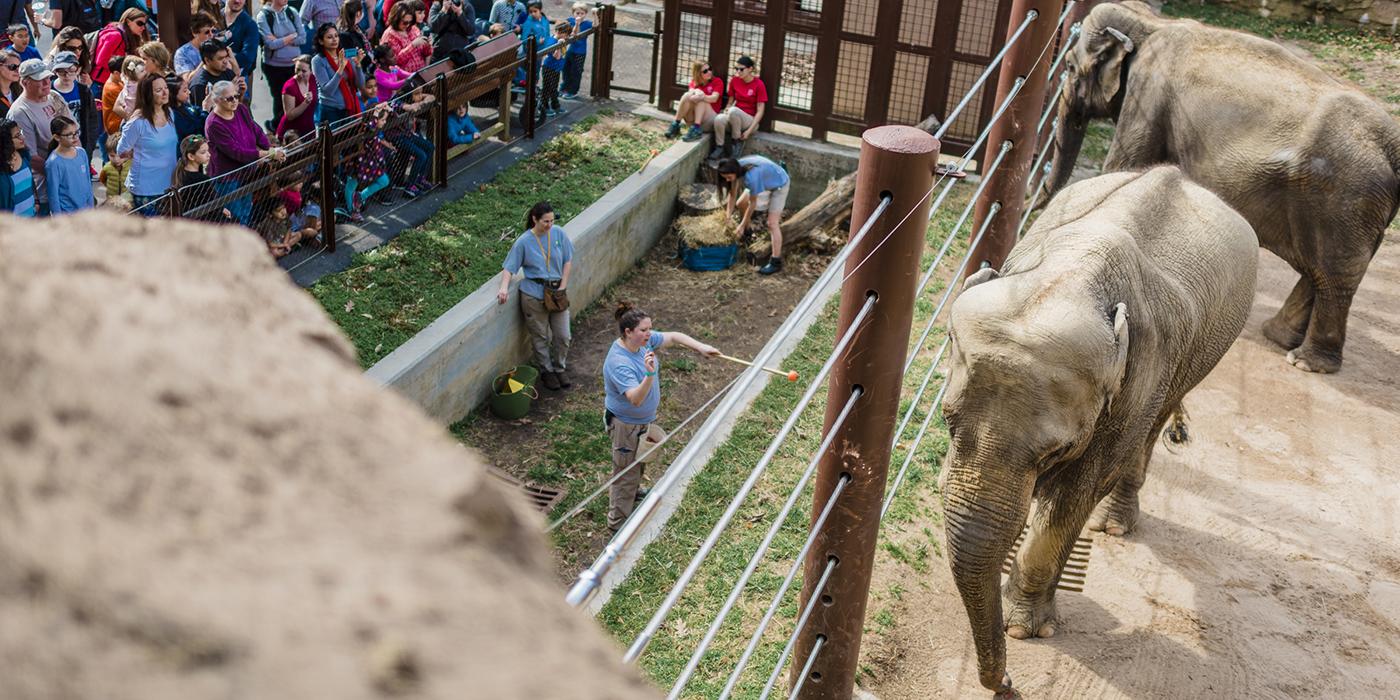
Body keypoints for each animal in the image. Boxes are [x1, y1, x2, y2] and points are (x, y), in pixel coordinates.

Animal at [940, 165, 1260, 694]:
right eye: (947, 423)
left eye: (1056, 451)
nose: (1007, 684)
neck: (1073, 276)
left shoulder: (1140, 373)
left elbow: (1078, 493)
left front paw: (1025, 628)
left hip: (1198, 356)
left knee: (1150, 430)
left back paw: (1112, 525)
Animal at [1041, 0, 1400, 375]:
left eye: (1069, 66)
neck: (1152, 23)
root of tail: (1394, 146)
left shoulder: (1147, 97)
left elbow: (1123, 167)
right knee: (1321, 270)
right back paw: (1277, 336)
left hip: (1345, 201)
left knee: (1334, 275)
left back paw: (1305, 362)